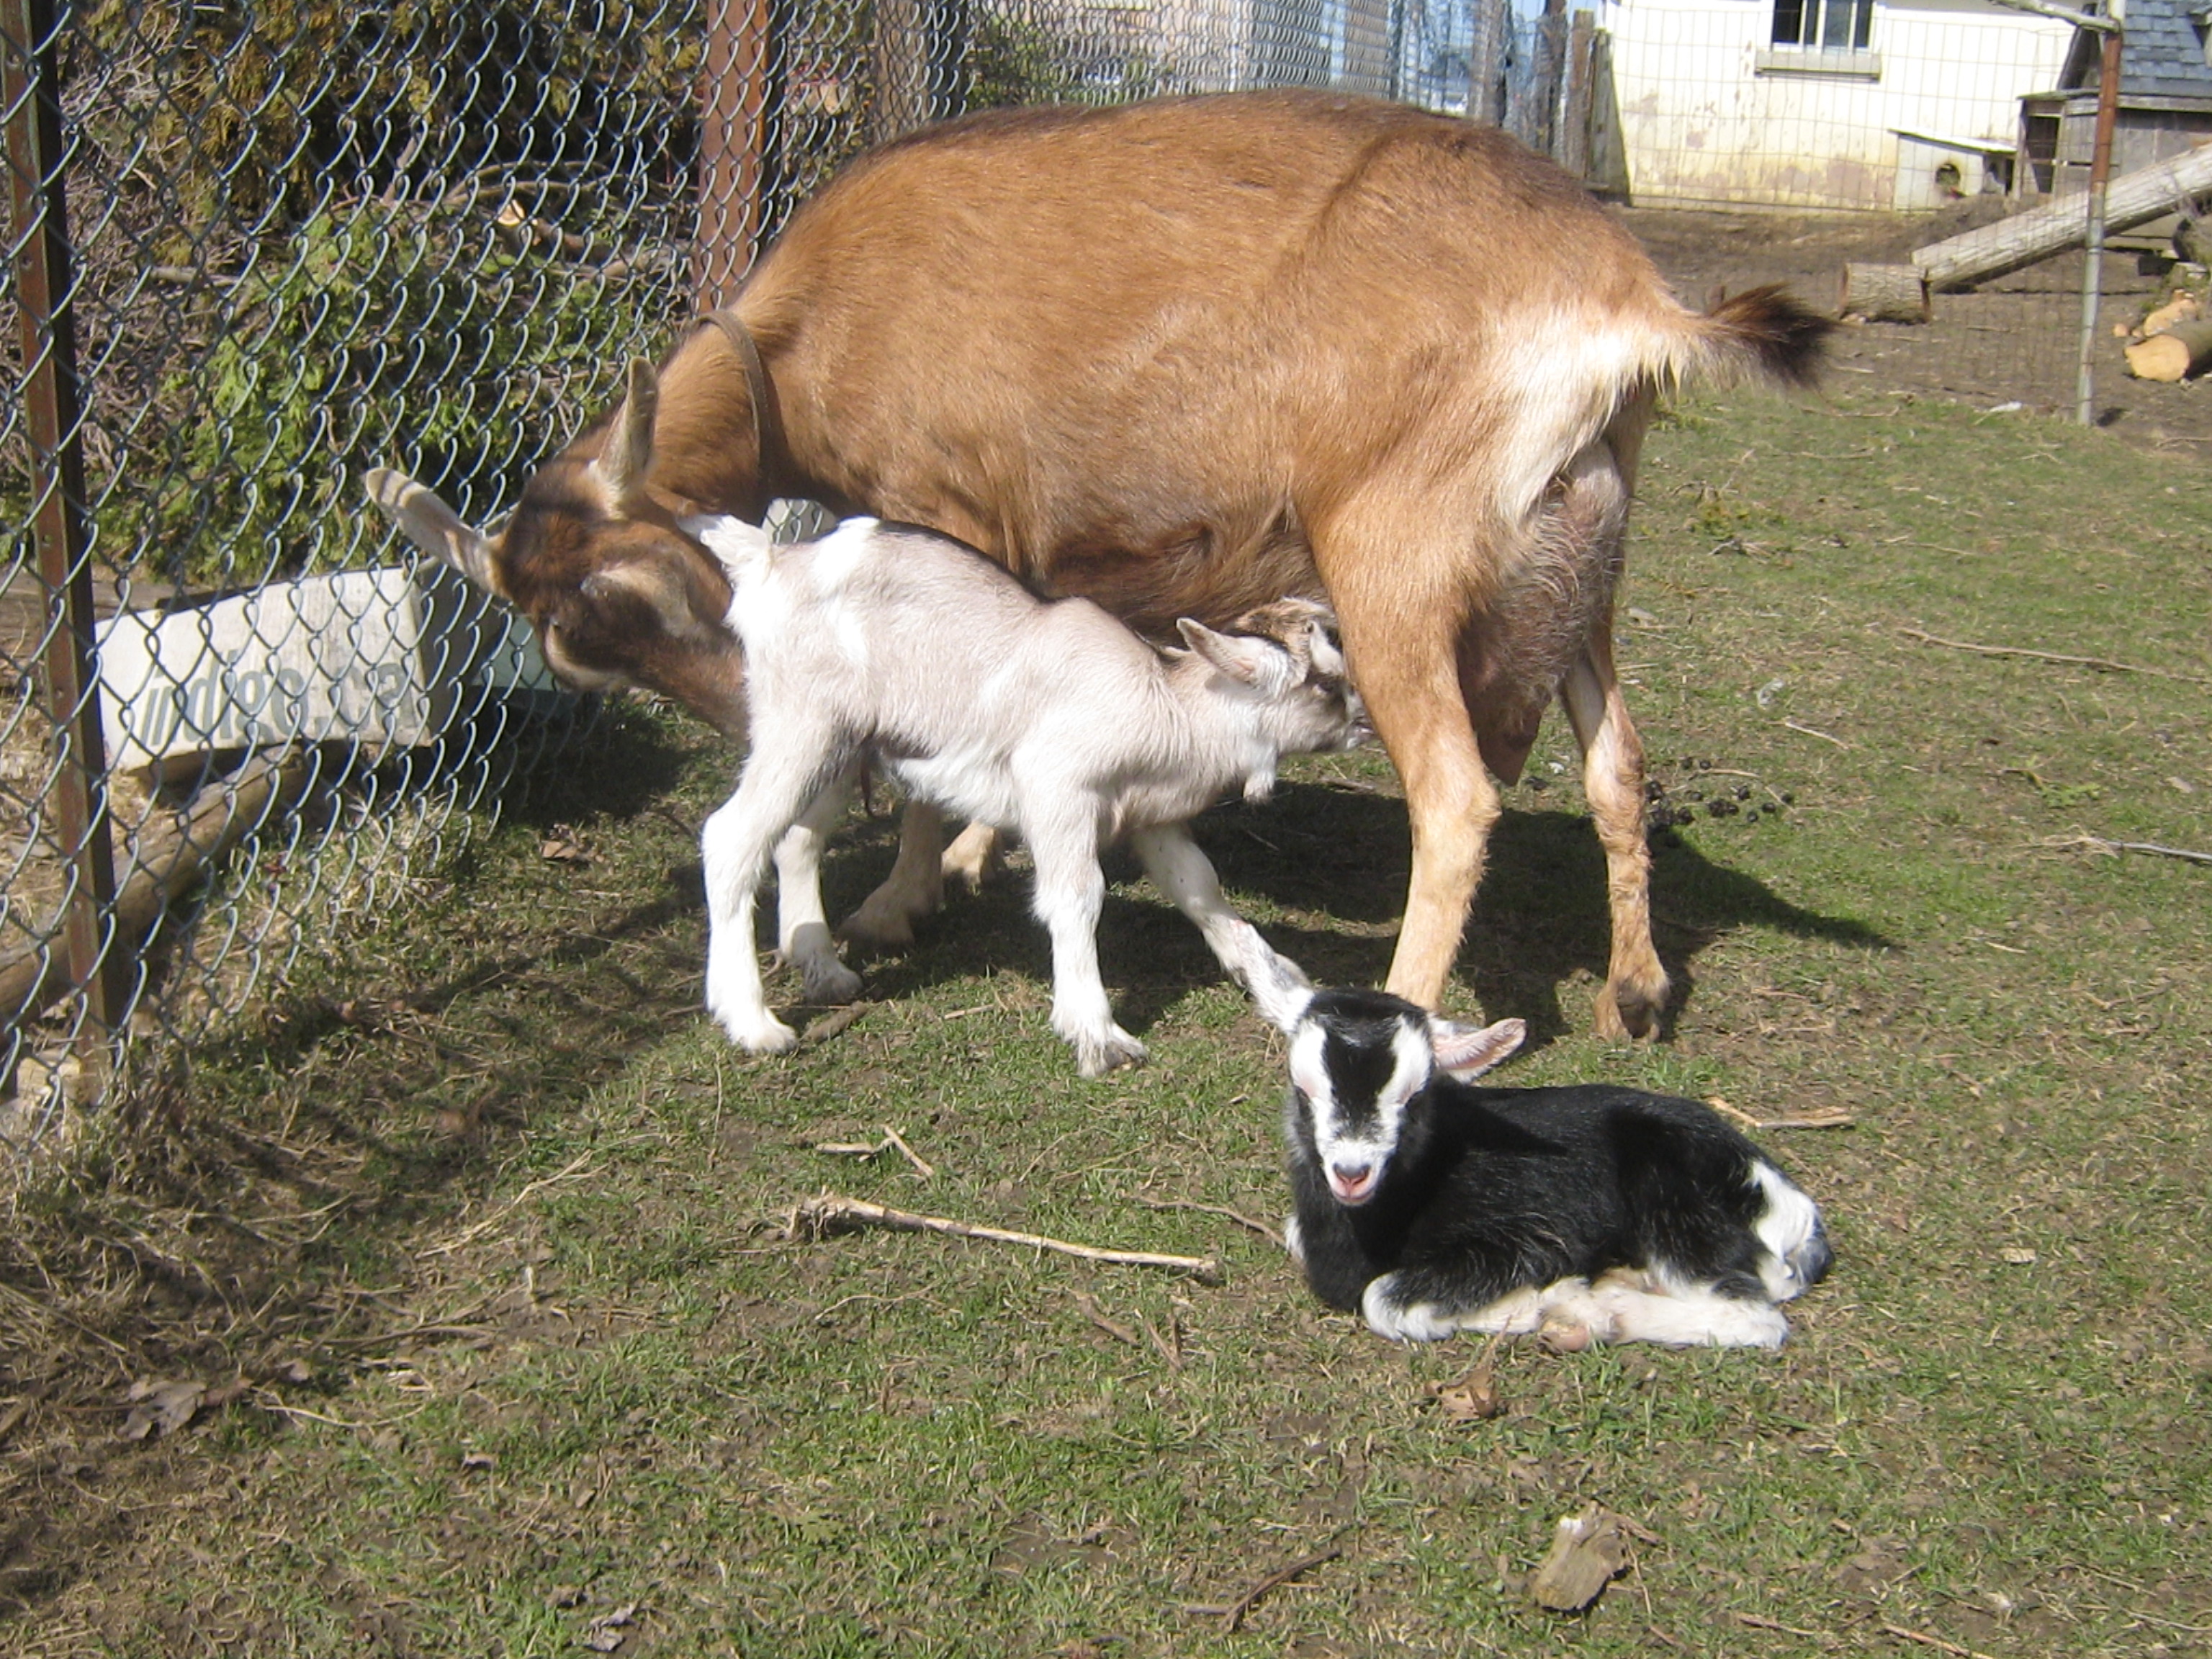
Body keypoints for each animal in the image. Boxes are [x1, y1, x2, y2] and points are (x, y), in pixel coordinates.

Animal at [686, 512, 1368, 1075]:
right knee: (731, 838)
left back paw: (826, 973)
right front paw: (1096, 1034)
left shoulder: (1150, 818)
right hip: (800, 723)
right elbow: (1078, 897)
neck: (1168, 702)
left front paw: (1288, 997)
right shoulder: (1059, 790)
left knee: (797, 840)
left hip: (843, 745)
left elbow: (1203, 890)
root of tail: (770, 558)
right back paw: (753, 1023)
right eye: (1324, 684)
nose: (1364, 721)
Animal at [1277, 986, 1832, 1348]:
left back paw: (1609, 1311)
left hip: (1677, 1201)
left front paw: (1537, 1304)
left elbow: (1380, 1298)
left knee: (1757, 1318)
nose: (1352, 1172)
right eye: (1303, 1092)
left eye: (1414, 1097)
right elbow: (1295, 1235)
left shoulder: (1534, 1238)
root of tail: (1794, 1210)